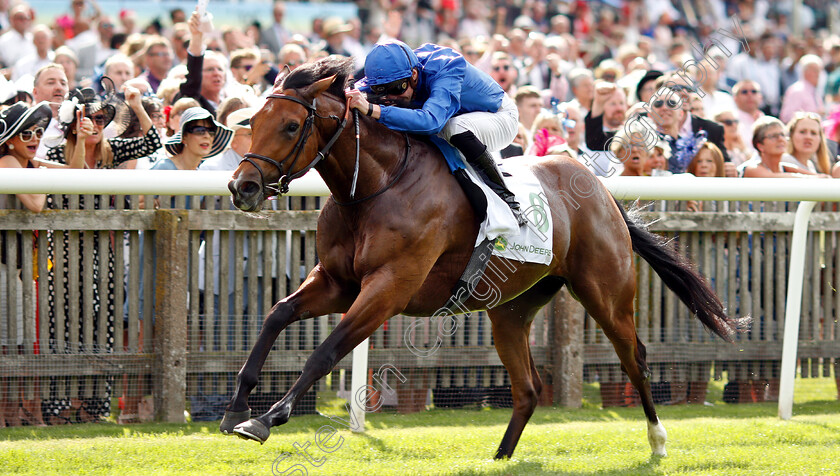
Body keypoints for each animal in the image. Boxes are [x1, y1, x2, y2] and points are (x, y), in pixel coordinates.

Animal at [225, 57, 748, 460]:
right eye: (251, 123)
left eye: (291, 125)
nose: (241, 187)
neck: (376, 186)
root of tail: (599, 190)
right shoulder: (337, 282)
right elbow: (277, 315)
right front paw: (236, 407)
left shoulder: (389, 288)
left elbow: (325, 351)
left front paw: (268, 418)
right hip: (510, 311)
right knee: (529, 387)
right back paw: (500, 456)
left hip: (606, 294)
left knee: (634, 357)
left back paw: (658, 442)